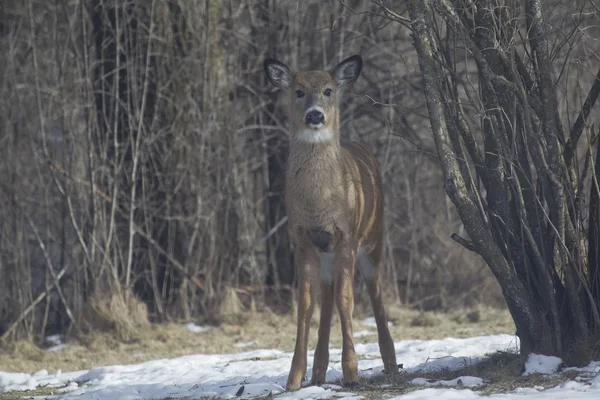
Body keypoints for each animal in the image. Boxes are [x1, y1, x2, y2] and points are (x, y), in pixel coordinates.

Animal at [264, 54, 398, 390]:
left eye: (328, 90)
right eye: (298, 91)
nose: (315, 115)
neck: (319, 203)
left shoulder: (346, 235)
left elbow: (346, 299)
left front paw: (351, 373)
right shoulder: (302, 238)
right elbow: (306, 305)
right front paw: (294, 378)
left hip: (373, 238)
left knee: (375, 291)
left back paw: (391, 362)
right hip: (325, 252)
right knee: (325, 296)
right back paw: (318, 371)